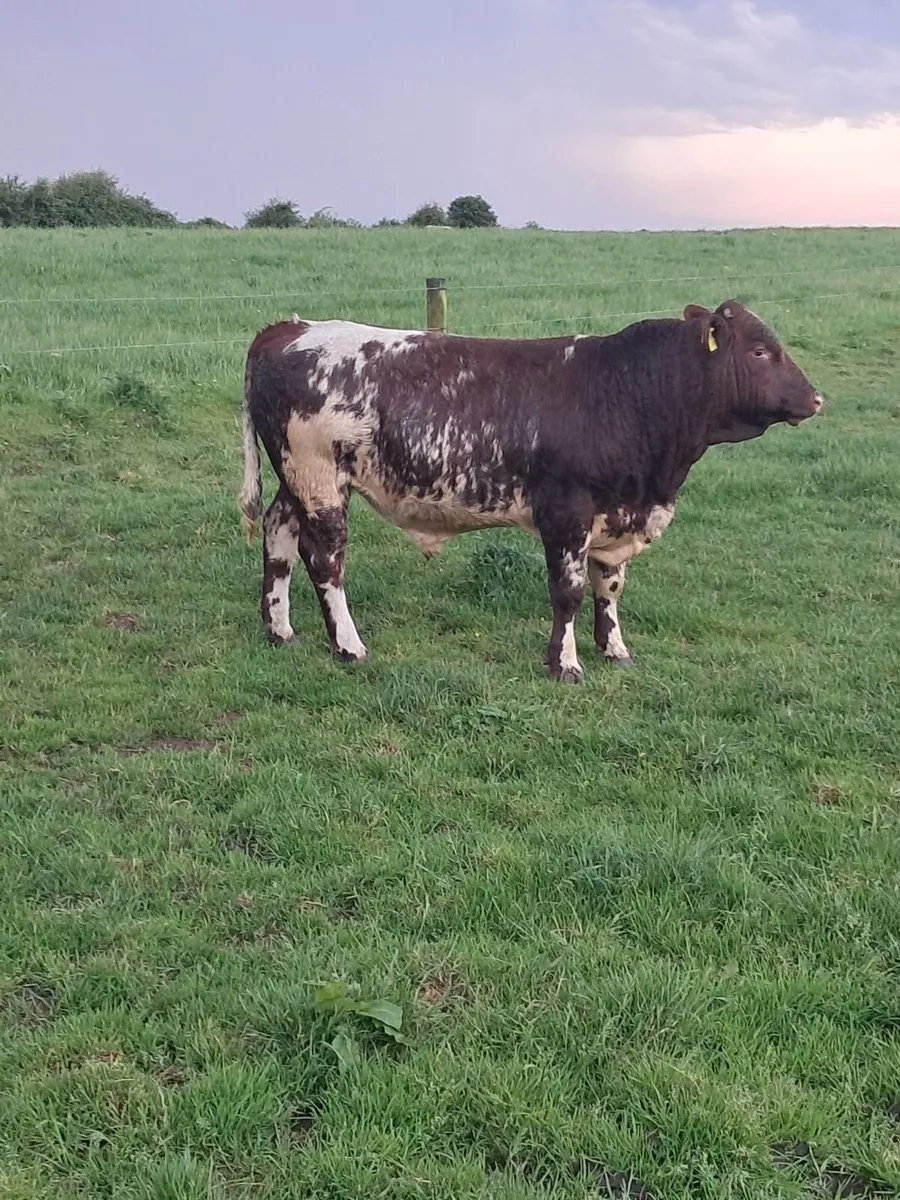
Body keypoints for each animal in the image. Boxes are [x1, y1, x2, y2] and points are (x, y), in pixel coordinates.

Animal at [237, 300, 822, 682]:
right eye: (761, 352)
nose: (815, 398)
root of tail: (290, 328)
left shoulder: (615, 515)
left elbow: (609, 588)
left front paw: (614, 649)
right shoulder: (566, 512)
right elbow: (568, 591)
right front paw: (564, 663)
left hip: (295, 480)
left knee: (278, 536)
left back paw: (279, 630)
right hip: (319, 480)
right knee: (325, 559)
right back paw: (348, 646)